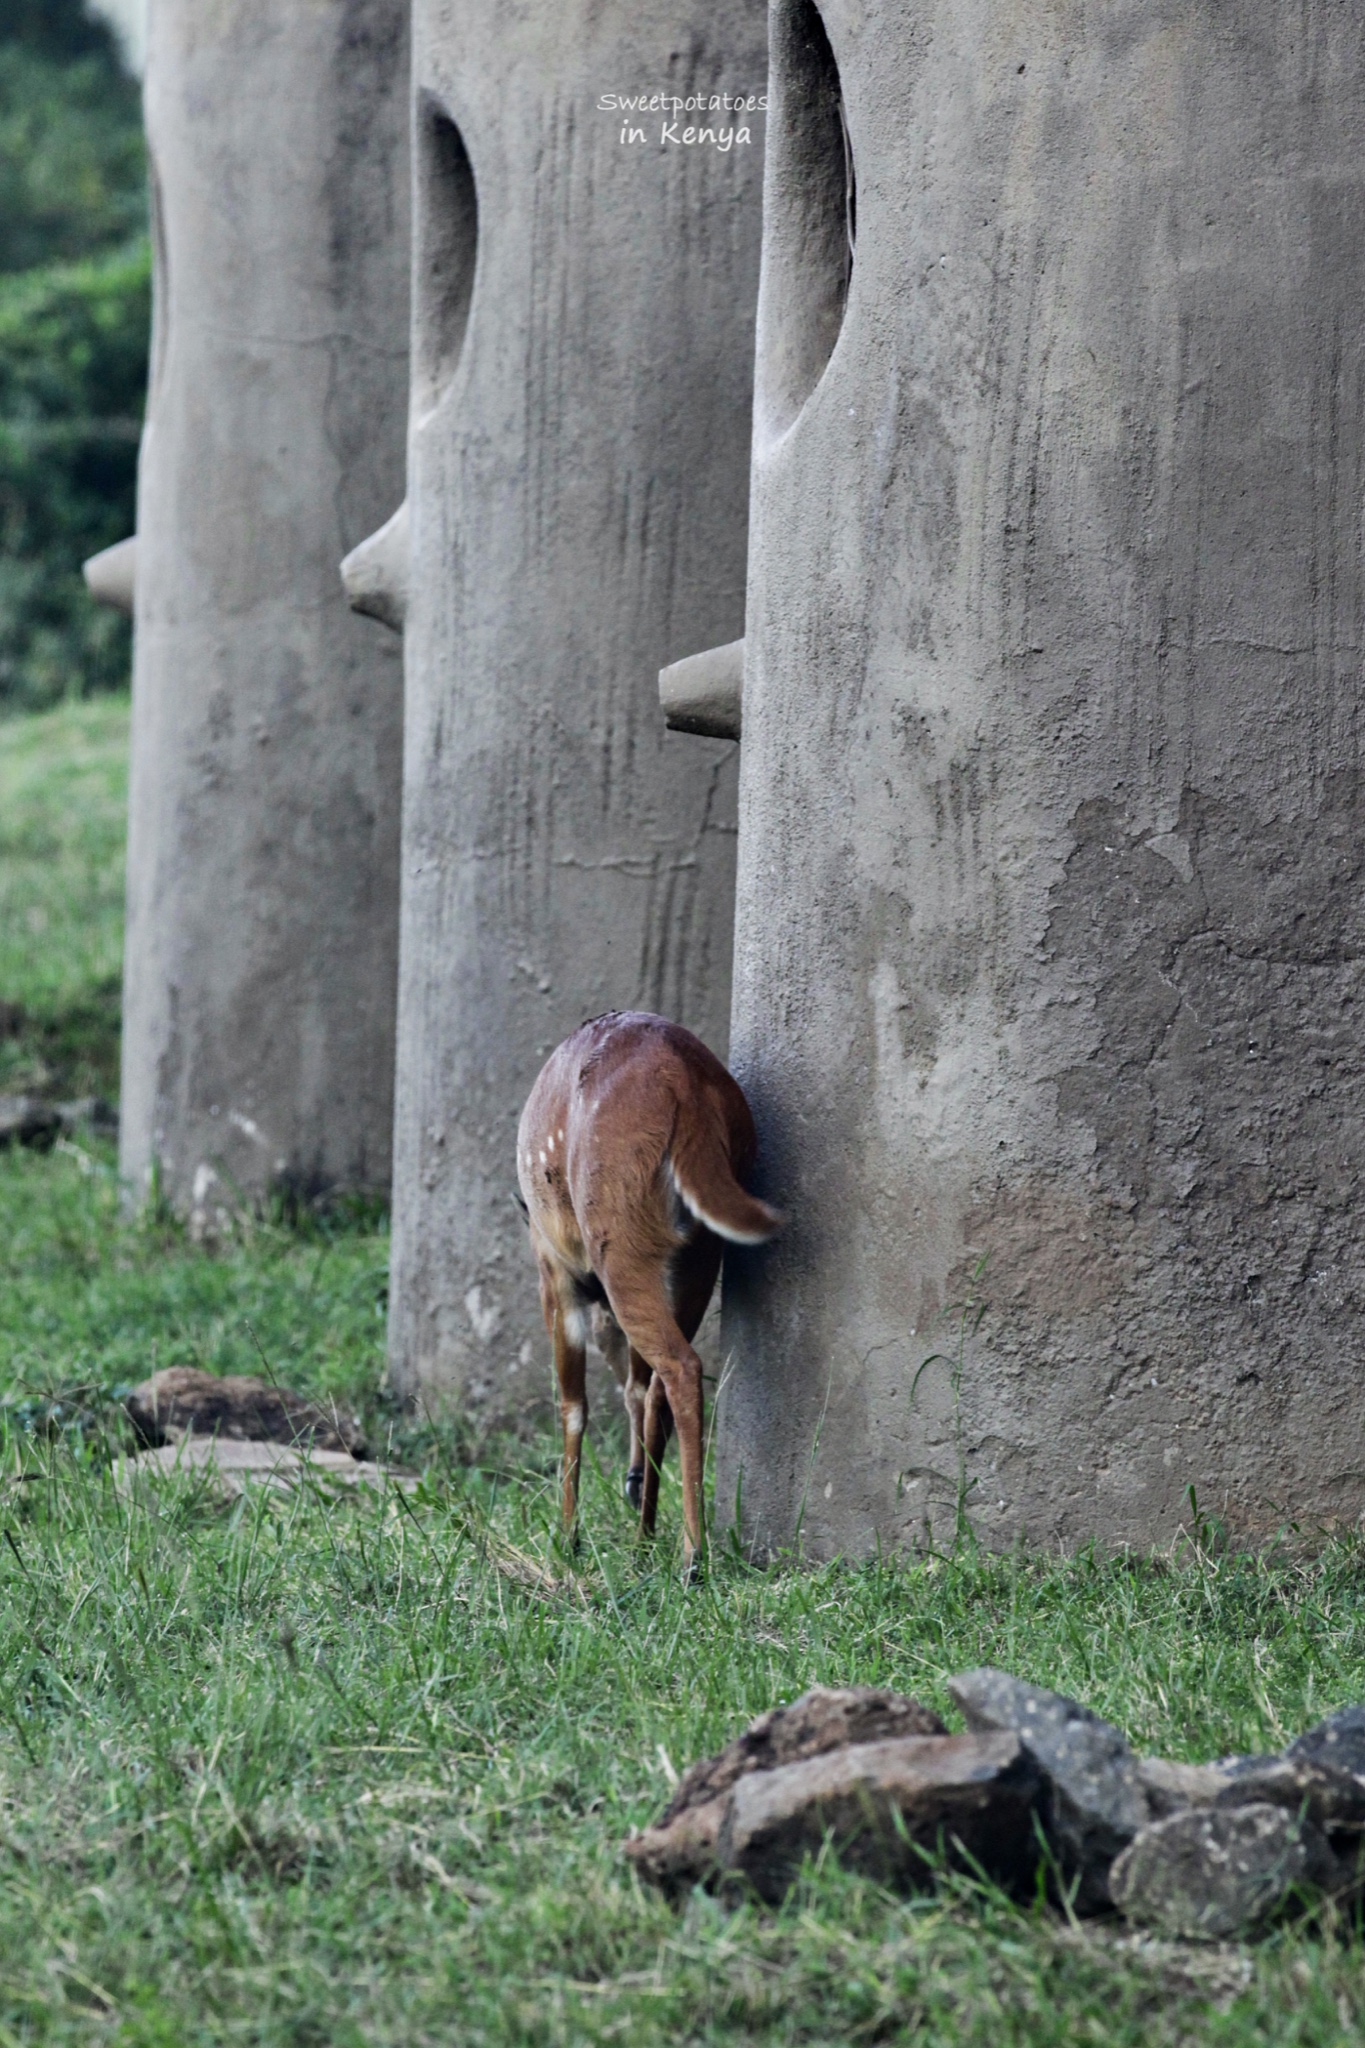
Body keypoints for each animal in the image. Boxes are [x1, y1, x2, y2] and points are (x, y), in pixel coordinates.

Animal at [517, 1007, 785, 1564]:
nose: (630, 1480)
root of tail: (686, 1086)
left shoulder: (554, 1274)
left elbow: (572, 1405)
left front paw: (568, 1538)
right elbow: (635, 1388)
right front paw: (636, 1507)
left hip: (622, 1244)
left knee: (681, 1367)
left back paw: (692, 1556)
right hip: (700, 1258)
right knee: (661, 1382)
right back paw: (651, 1536)